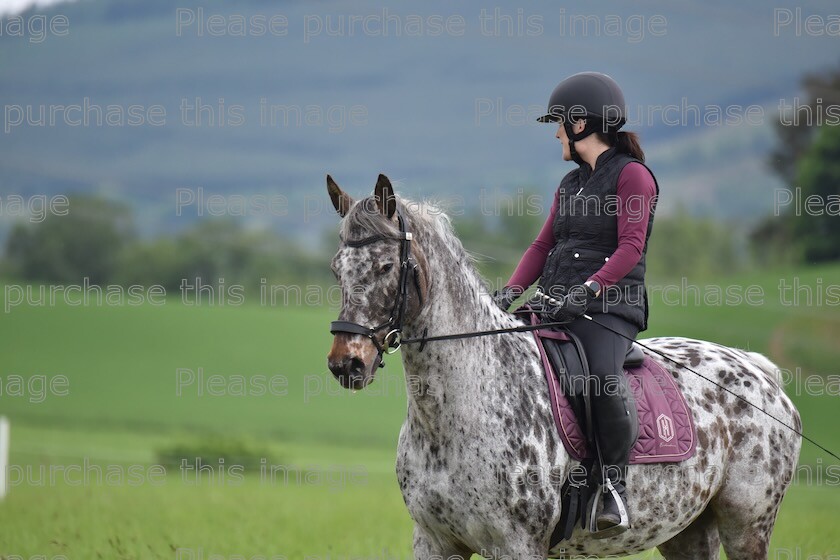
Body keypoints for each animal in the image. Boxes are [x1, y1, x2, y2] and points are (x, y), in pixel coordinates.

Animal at [326, 176, 800, 560]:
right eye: (336, 271)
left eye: (387, 266)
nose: (346, 363)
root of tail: (758, 372)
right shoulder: (435, 542)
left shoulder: (517, 546)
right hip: (687, 532)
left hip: (747, 527)